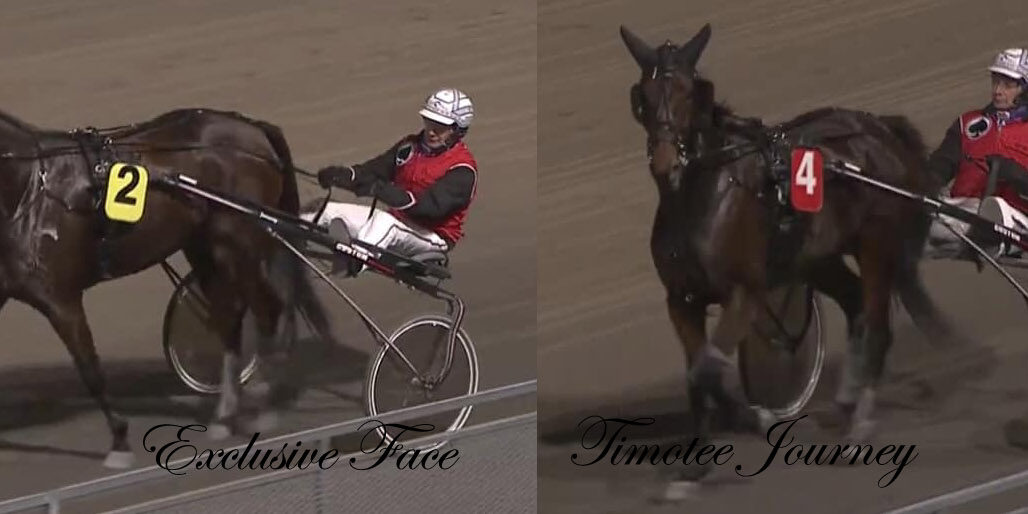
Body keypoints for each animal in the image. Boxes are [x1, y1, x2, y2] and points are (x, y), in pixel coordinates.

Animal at [0, 107, 332, 468]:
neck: (32, 188)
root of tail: (250, 126)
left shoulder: (61, 298)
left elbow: (90, 369)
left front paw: (120, 442)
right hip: (205, 249)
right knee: (231, 319)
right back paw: (225, 416)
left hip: (238, 243)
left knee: (267, 311)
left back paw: (263, 406)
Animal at [617, 23, 968, 482]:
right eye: (644, 95)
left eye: (687, 92)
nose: (665, 162)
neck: (702, 196)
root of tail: (880, 129)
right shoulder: (681, 299)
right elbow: (698, 374)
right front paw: (698, 463)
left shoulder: (744, 292)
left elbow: (710, 366)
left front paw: (757, 417)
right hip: (817, 258)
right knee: (856, 305)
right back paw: (845, 401)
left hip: (876, 244)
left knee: (876, 324)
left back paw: (860, 422)